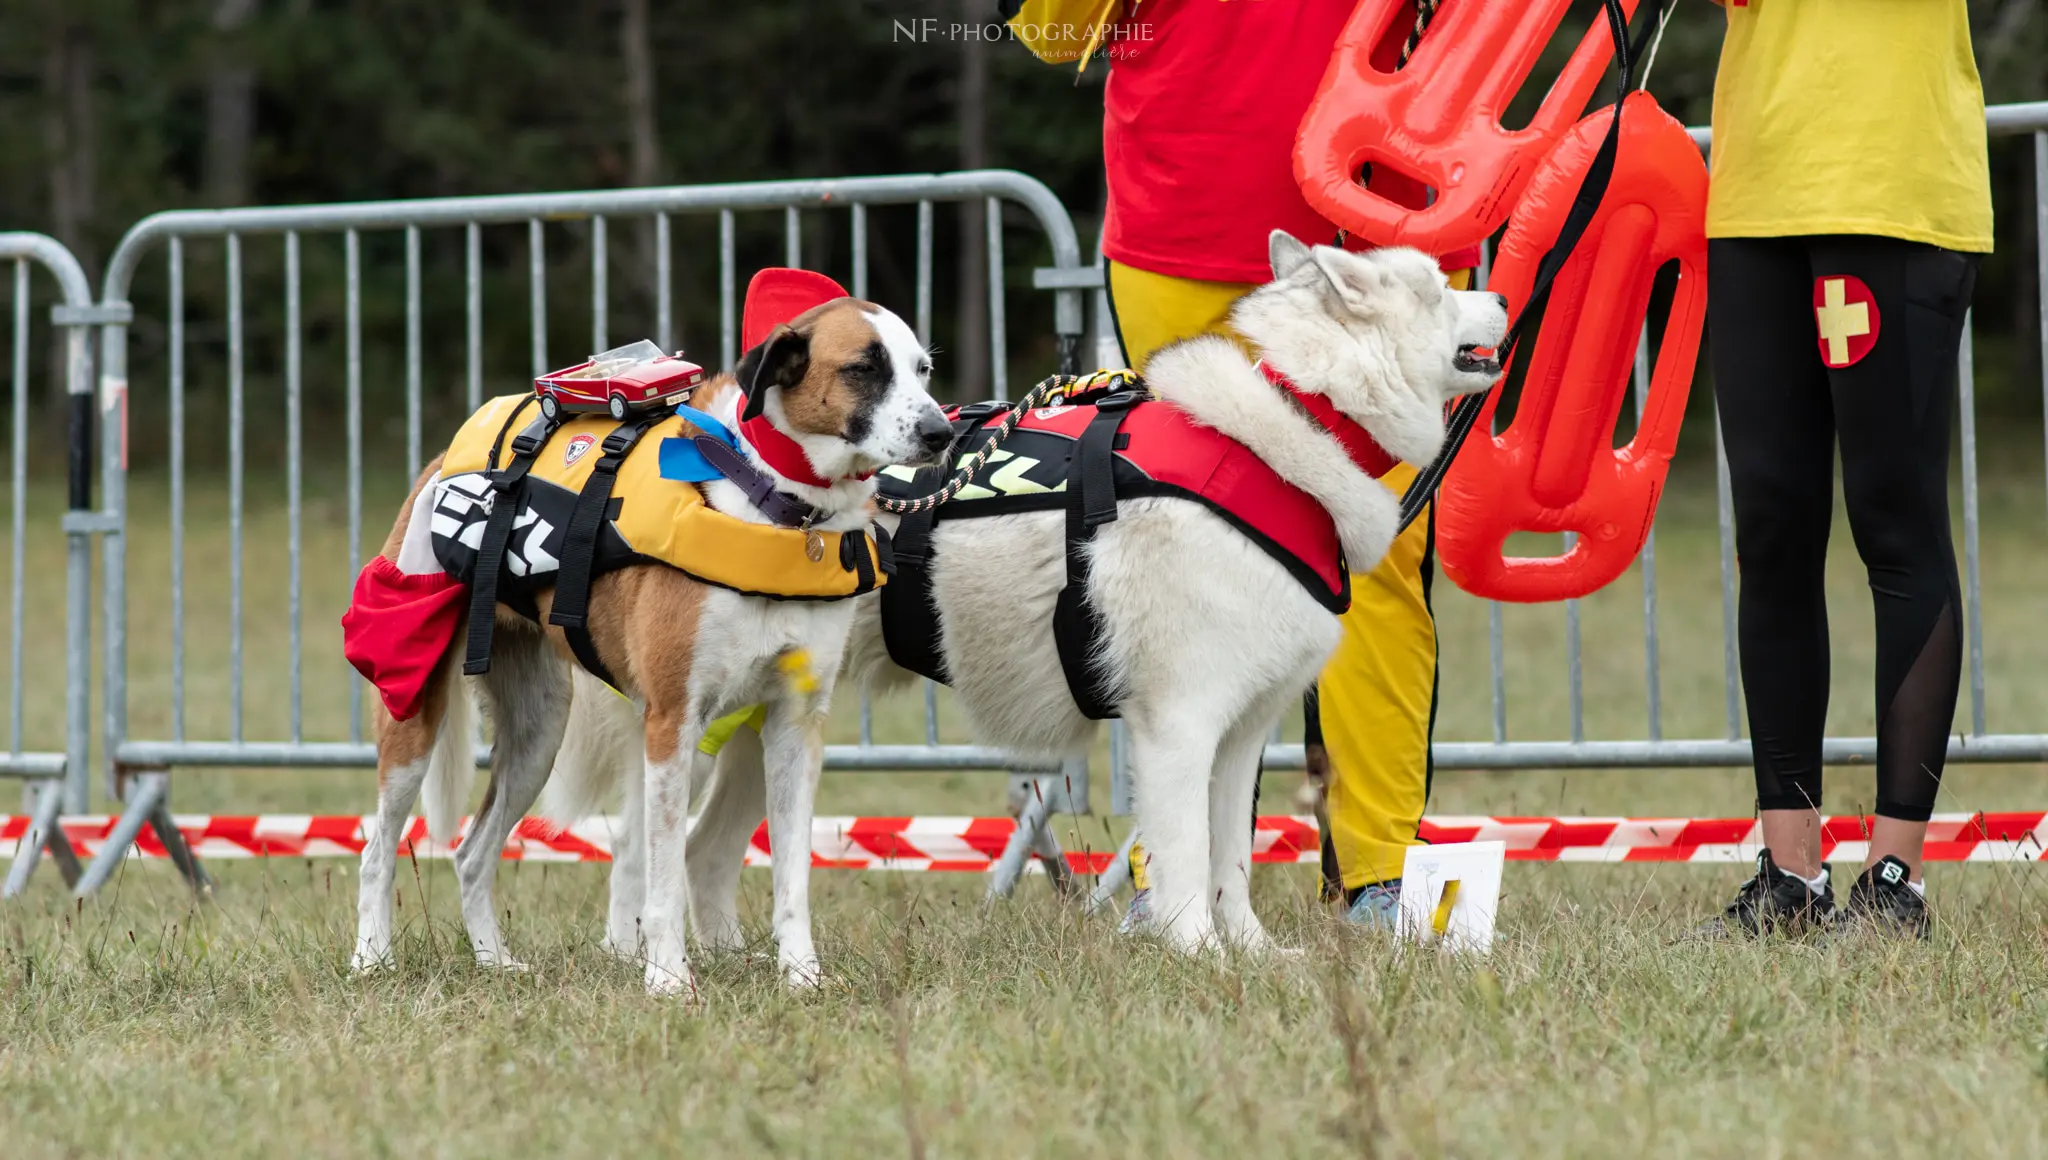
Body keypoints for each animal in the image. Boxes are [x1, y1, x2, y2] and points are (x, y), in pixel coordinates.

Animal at [354, 299, 950, 1000]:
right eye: (864, 368)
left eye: (922, 369)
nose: (941, 433)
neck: (773, 506)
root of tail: (444, 457)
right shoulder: (672, 722)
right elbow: (661, 876)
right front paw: (667, 980)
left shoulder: (793, 729)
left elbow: (791, 878)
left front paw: (802, 976)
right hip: (413, 714)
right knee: (377, 847)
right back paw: (372, 960)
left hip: (538, 736)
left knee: (473, 853)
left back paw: (494, 962)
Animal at [540, 231, 1507, 959]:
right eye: (1437, 288)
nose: (1502, 298)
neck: (1293, 414)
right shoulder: (1179, 725)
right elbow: (1187, 859)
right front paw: (1196, 955)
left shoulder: (1241, 735)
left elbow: (1232, 859)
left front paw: (1254, 957)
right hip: (689, 721)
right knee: (639, 846)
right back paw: (644, 961)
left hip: (762, 720)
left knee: (704, 853)